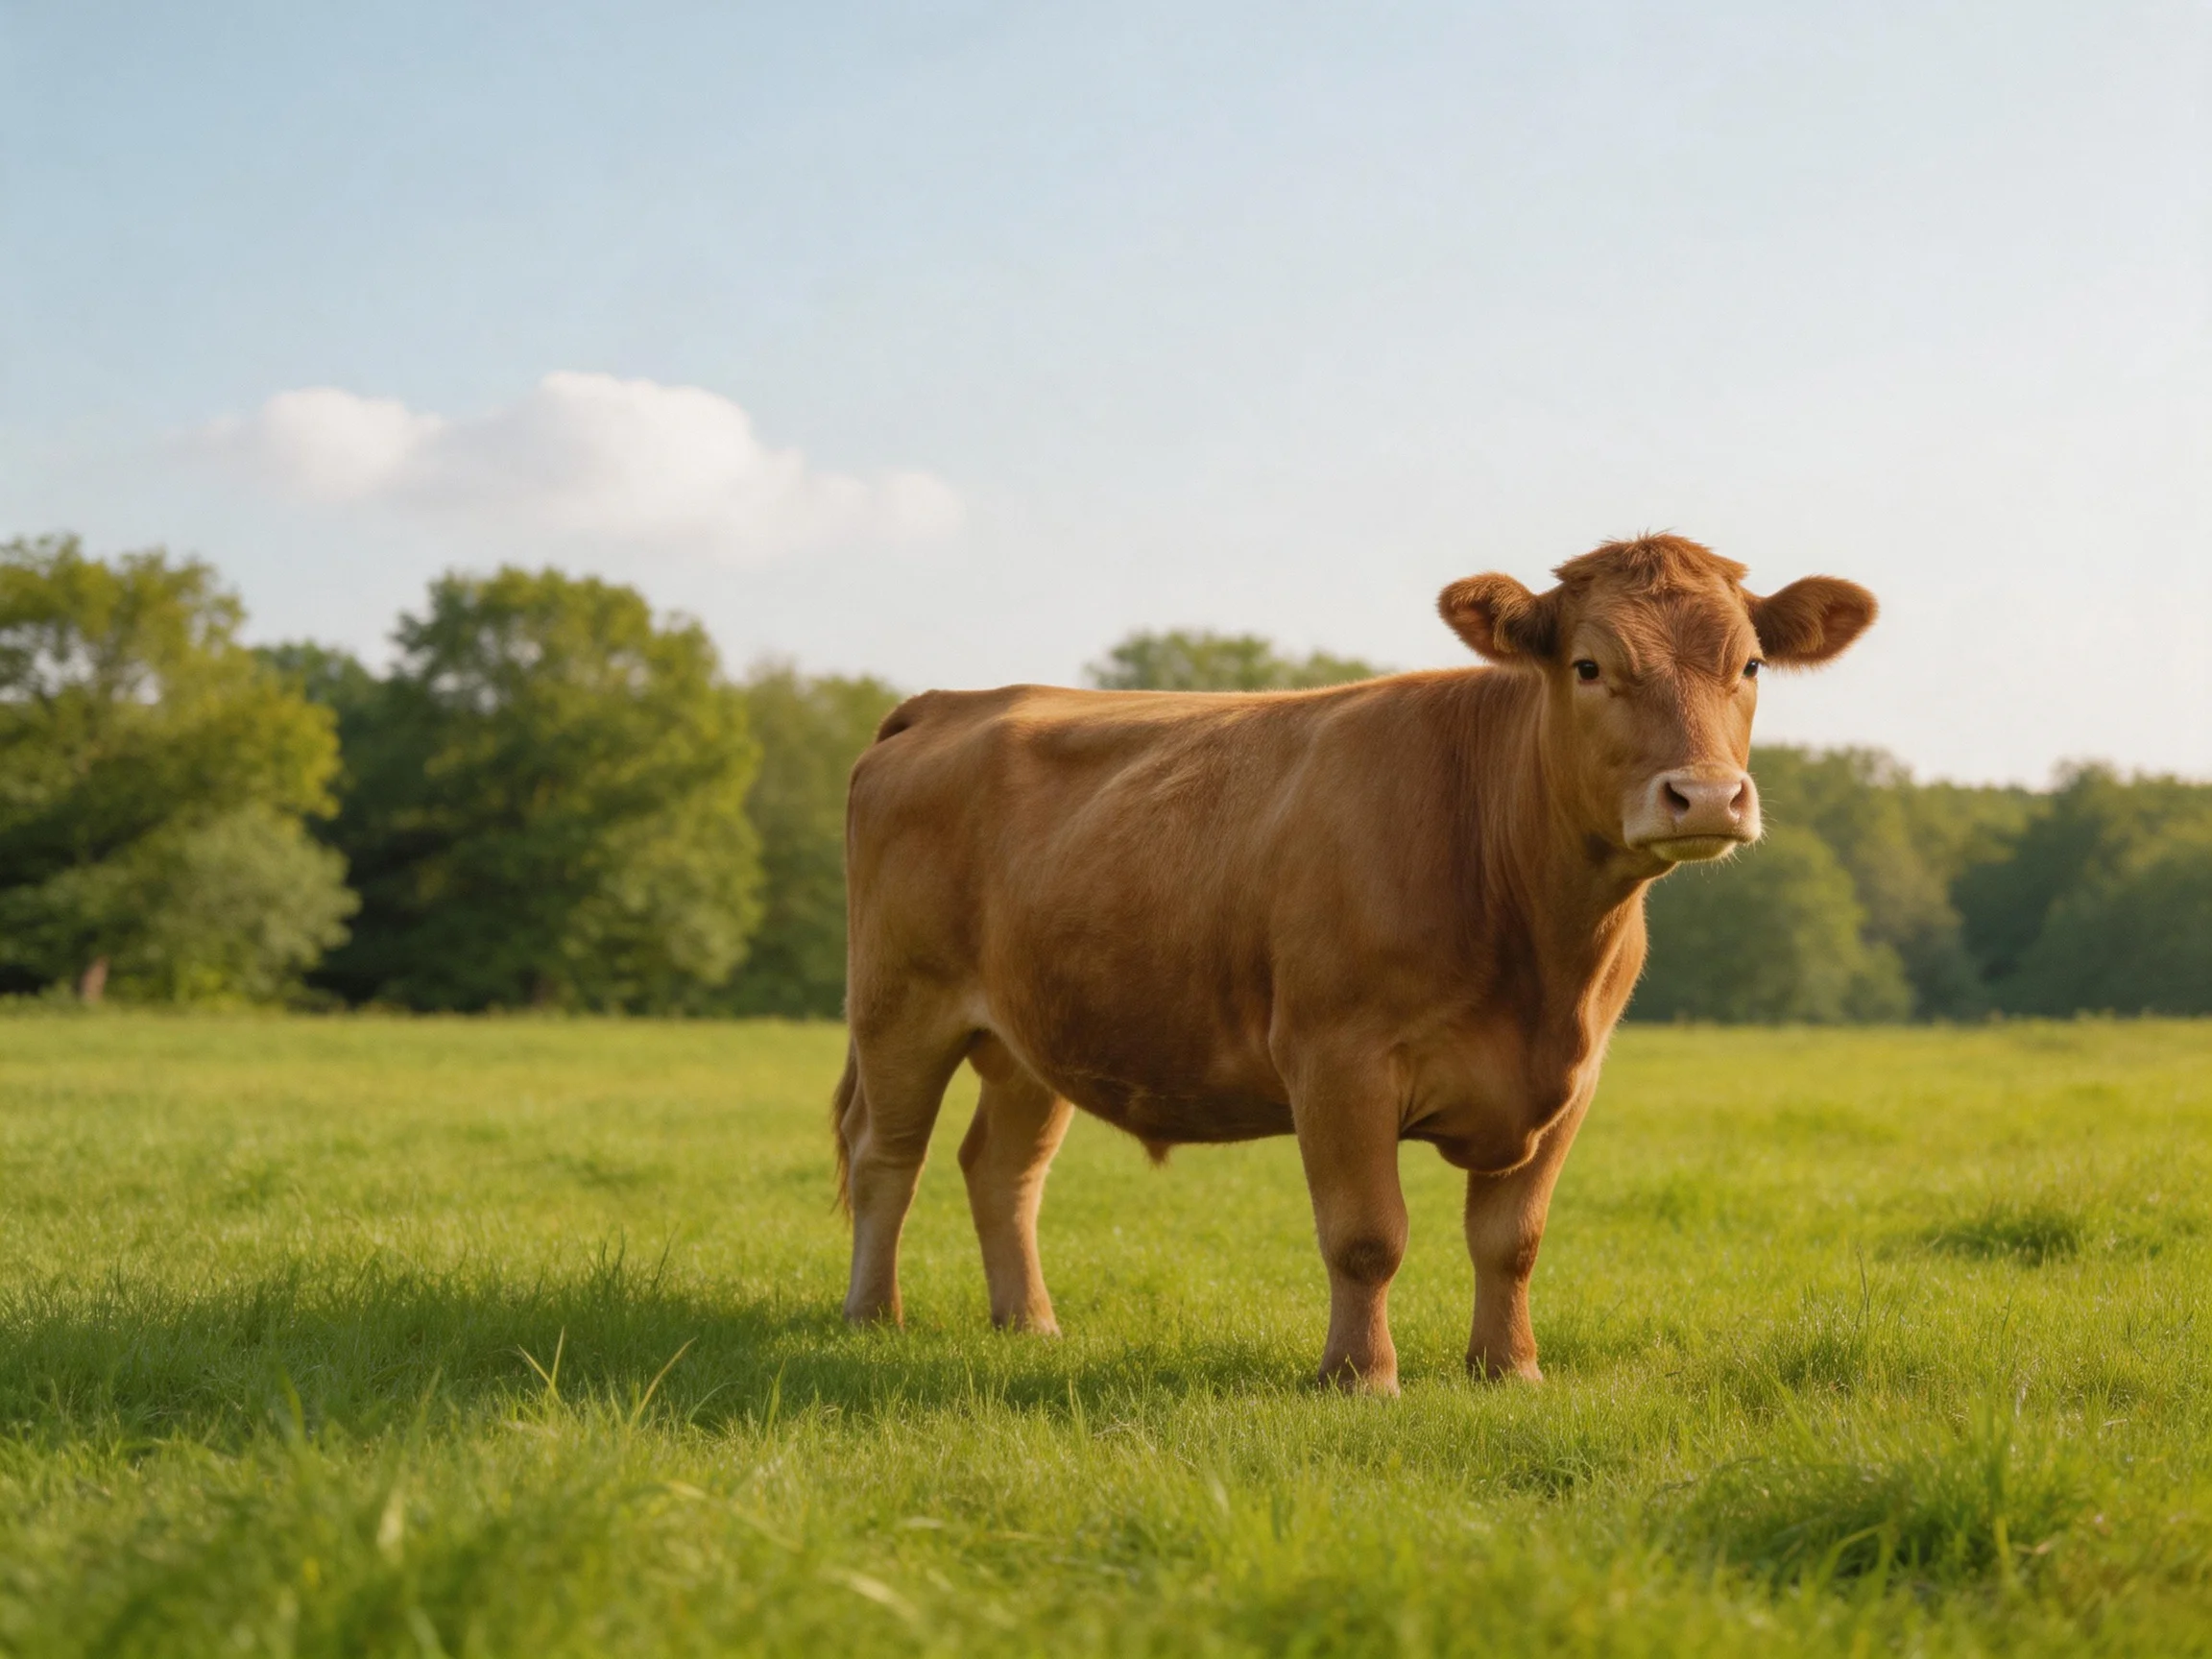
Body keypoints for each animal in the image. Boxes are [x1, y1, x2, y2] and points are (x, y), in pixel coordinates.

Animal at [831, 535, 1876, 1392]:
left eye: (1749, 664)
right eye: (1589, 665)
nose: (1704, 795)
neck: (1539, 950)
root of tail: (955, 699)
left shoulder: (1575, 1078)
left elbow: (1512, 1241)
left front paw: (1509, 1369)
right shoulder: (1338, 1059)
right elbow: (1368, 1237)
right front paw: (1361, 1376)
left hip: (1029, 1035)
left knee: (1001, 1168)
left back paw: (1029, 1324)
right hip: (899, 1005)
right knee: (889, 1156)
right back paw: (873, 1317)